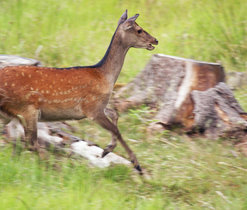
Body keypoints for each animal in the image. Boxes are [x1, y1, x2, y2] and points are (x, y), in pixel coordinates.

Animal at [0, 9, 158, 174]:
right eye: (139, 30)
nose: (155, 40)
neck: (104, 76)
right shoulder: (92, 108)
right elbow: (116, 129)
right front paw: (135, 163)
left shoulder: (99, 105)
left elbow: (115, 114)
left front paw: (107, 149)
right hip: (27, 109)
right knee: (31, 142)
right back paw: (54, 168)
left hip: (11, 113)